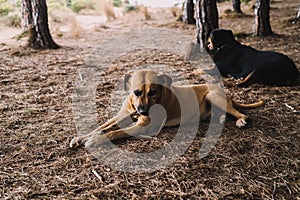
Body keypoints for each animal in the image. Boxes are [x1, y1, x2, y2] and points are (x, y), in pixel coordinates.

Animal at [69, 70, 262, 148]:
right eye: (136, 92)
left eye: (153, 92)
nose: (143, 112)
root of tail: (226, 93)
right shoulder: (121, 116)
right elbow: (102, 126)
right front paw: (82, 137)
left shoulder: (143, 126)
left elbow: (115, 132)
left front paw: (96, 140)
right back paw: (220, 119)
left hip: (212, 96)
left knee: (241, 113)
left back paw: (240, 120)